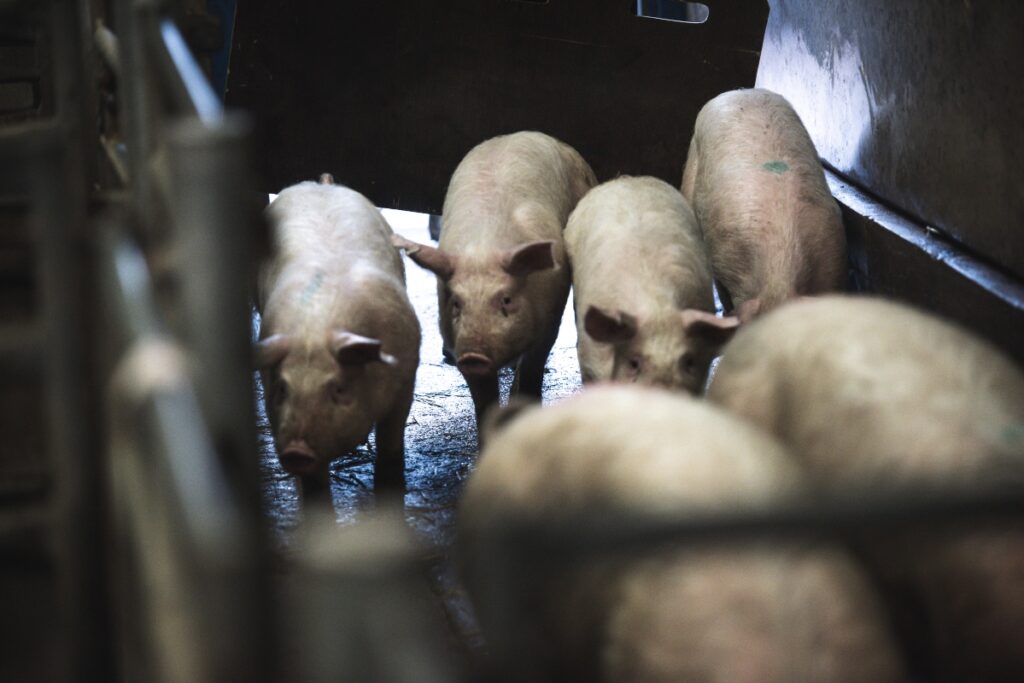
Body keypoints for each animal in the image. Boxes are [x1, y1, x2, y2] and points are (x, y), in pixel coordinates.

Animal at [256, 177, 420, 498]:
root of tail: (322, 183)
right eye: (282, 388)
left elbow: (390, 444)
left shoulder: (407, 375)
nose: (296, 451)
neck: (317, 328)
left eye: (339, 388)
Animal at [392, 131, 596, 432]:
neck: (483, 249)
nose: (473, 356)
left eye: (506, 300)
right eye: (456, 304)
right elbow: (483, 401)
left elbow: (533, 369)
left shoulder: (550, 319)